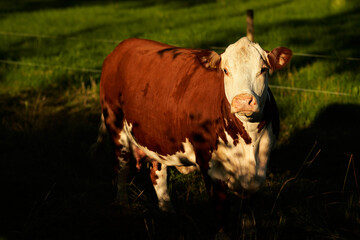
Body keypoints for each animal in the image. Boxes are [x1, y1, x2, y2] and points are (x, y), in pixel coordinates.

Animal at [99, 36, 292, 232]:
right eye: (225, 70)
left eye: (263, 69)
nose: (243, 101)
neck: (248, 143)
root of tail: (124, 45)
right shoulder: (210, 165)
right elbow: (221, 210)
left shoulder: (259, 168)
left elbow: (248, 213)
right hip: (115, 124)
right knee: (122, 168)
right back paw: (123, 206)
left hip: (154, 137)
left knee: (157, 173)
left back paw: (169, 212)